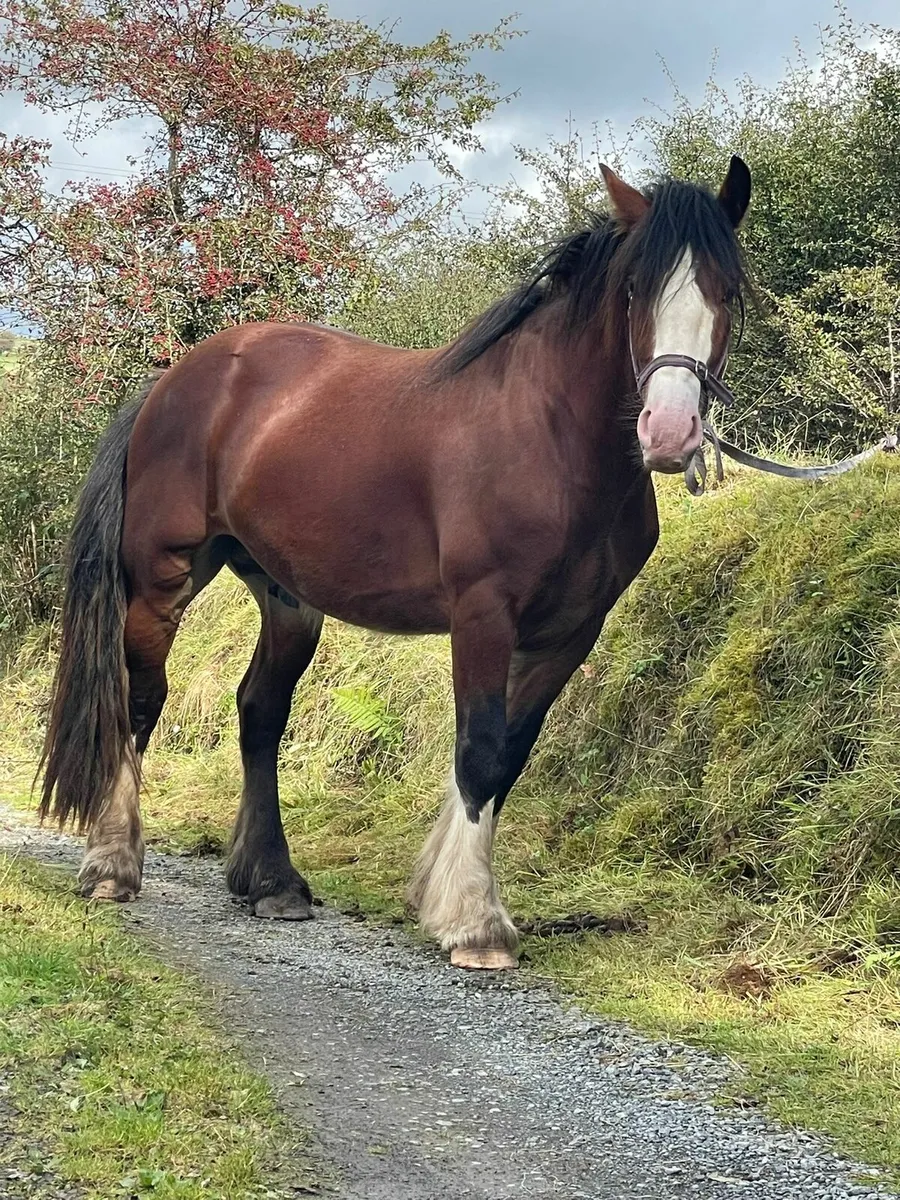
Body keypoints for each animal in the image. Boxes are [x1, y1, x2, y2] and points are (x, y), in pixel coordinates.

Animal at [39, 156, 752, 970]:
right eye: (634, 290)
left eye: (728, 291)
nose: (669, 431)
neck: (551, 439)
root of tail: (173, 382)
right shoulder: (483, 615)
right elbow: (479, 749)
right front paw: (475, 922)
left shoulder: (570, 632)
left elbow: (510, 753)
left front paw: (442, 893)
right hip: (164, 578)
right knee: (139, 700)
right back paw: (112, 864)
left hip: (287, 597)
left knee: (260, 713)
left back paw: (271, 883)